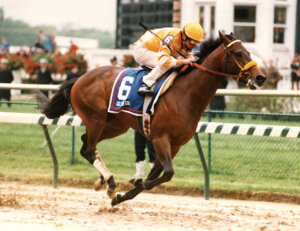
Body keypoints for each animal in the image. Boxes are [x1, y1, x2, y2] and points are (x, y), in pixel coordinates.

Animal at [37, 31, 264, 206]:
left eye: (249, 52)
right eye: (238, 53)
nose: (260, 77)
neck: (185, 94)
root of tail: (79, 78)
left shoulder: (175, 144)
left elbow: (157, 175)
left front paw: (121, 197)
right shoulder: (160, 138)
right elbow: (167, 173)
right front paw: (134, 184)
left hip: (115, 125)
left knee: (87, 144)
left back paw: (103, 182)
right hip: (95, 119)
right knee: (88, 149)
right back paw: (109, 181)